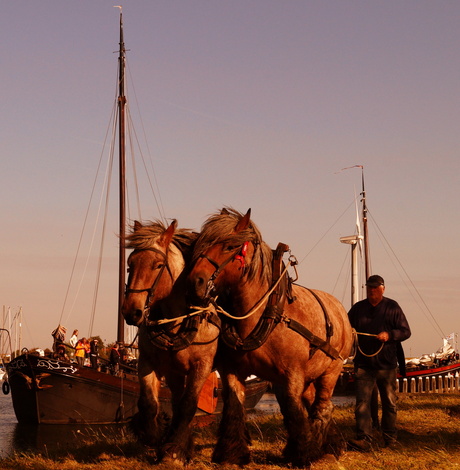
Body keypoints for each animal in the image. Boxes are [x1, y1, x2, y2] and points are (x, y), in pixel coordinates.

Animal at [122, 220, 219, 462]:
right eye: (130, 264)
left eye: (158, 265)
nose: (131, 311)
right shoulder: (148, 361)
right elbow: (149, 403)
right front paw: (154, 437)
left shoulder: (202, 366)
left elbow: (188, 405)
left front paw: (173, 448)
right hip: (175, 373)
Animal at [187, 210, 352, 470]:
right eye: (202, 243)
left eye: (230, 246)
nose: (196, 281)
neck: (266, 313)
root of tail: (341, 311)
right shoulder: (232, 370)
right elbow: (234, 409)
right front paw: (231, 454)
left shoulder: (290, 375)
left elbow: (294, 411)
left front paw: (303, 455)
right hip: (309, 377)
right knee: (313, 403)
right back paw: (331, 443)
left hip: (332, 370)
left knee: (323, 406)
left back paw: (321, 447)